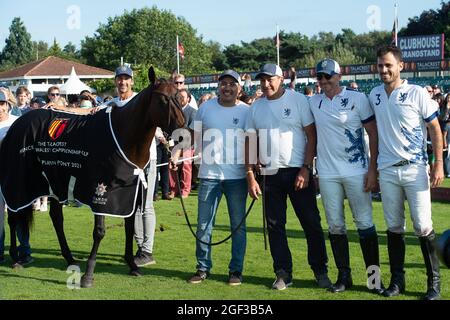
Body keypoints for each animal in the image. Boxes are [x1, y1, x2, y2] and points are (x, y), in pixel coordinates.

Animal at [0, 67, 185, 288]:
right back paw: (15, 258)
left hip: (55, 182)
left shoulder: (130, 192)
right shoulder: (100, 190)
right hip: (19, 183)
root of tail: (16, 125)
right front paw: (88, 275)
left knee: (56, 218)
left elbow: (129, 226)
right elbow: (99, 232)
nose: (183, 132)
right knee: (13, 217)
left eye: (179, 96)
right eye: (163, 99)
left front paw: (132, 265)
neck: (123, 136)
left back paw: (69, 258)